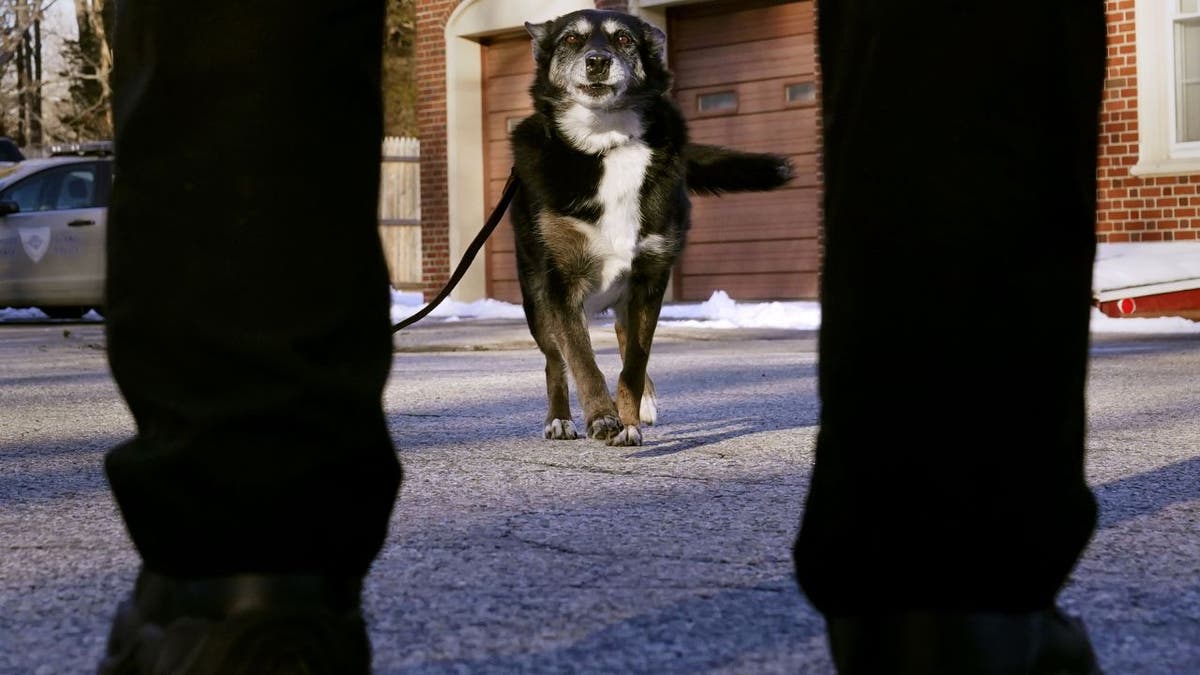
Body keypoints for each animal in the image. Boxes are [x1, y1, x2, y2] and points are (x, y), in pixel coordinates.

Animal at [511, 10, 792, 444]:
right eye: (571, 39)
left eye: (624, 39)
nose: (597, 61)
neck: (606, 143)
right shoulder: (560, 283)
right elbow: (582, 360)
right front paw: (602, 417)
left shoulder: (650, 277)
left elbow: (634, 363)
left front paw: (627, 419)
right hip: (535, 297)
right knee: (555, 361)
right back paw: (559, 419)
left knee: (624, 340)